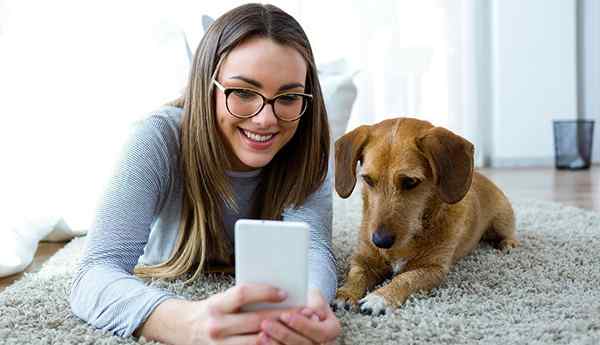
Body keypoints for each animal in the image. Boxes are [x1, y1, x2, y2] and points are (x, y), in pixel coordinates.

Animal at [332, 117, 520, 314]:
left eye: (410, 181)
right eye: (367, 179)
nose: (380, 241)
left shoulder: (433, 270)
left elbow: (405, 278)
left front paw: (381, 297)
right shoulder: (363, 260)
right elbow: (356, 275)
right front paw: (345, 293)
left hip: (501, 221)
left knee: (508, 233)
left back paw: (508, 244)